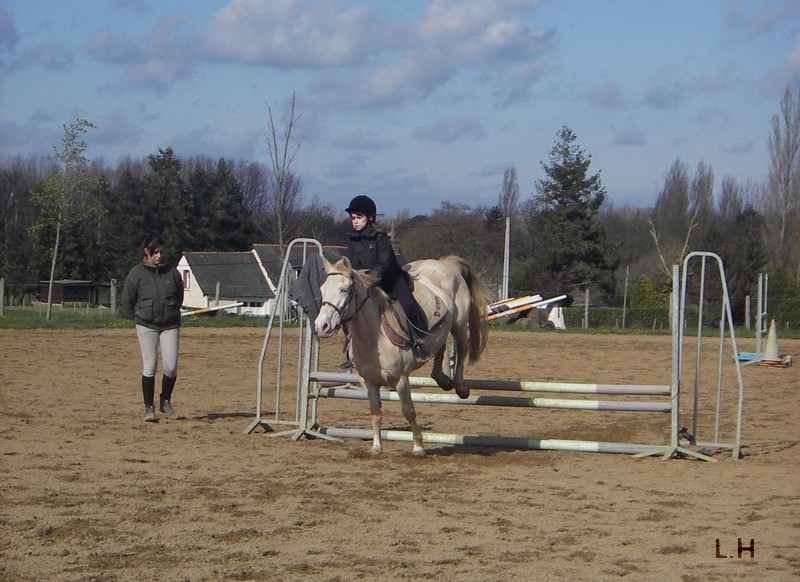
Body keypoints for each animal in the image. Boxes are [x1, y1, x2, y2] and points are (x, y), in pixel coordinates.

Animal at [312, 254, 488, 456]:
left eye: (343, 289)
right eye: (322, 290)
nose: (321, 326)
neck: (373, 339)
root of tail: (445, 264)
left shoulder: (401, 380)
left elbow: (408, 411)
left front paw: (418, 447)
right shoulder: (369, 382)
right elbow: (375, 413)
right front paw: (376, 447)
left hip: (459, 324)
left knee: (462, 349)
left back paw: (461, 387)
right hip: (442, 330)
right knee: (440, 346)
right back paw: (442, 379)